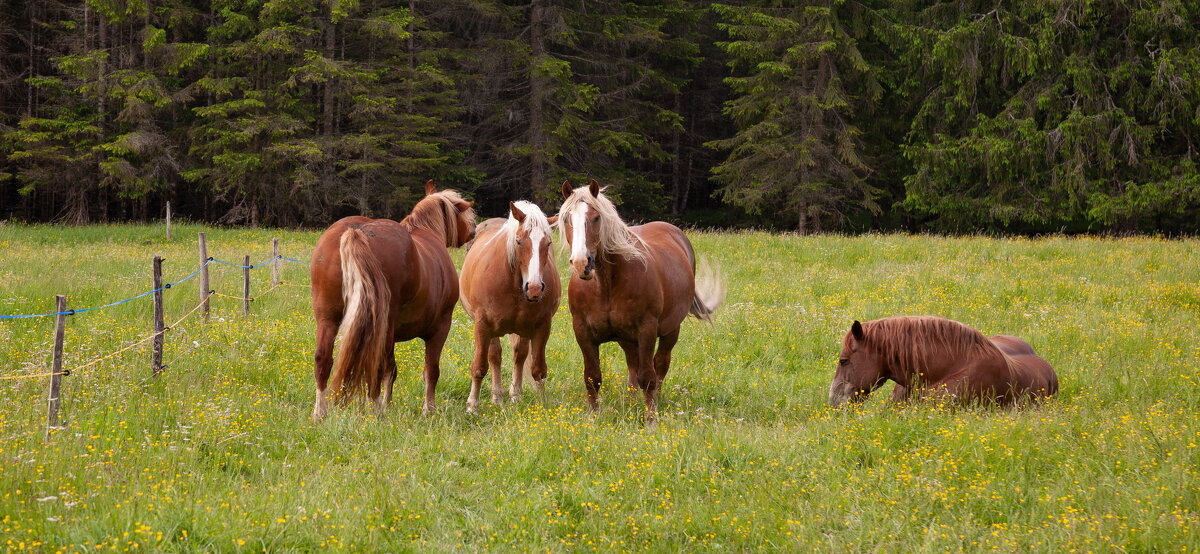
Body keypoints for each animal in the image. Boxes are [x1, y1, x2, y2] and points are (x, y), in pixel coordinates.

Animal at [307, 179, 475, 417]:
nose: (473, 230)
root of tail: (356, 231)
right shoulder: (440, 328)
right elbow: (430, 370)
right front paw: (428, 409)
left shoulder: (391, 334)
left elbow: (391, 368)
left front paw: (388, 403)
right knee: (374, 365)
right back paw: (376, 410)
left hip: (328, 319)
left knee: (323, 359)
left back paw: (321, 412)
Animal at [458, 201, 561, 412]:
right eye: (519, 241)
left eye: (548, 243)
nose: (534, 288)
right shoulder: (482, 325)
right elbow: (479, 366)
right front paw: (472, 407)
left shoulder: (542, 326)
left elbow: (538, 369)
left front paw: (541, 406)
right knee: (495, 356)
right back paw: (497, 397)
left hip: (522, 329)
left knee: (518, 356)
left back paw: (515, 396)